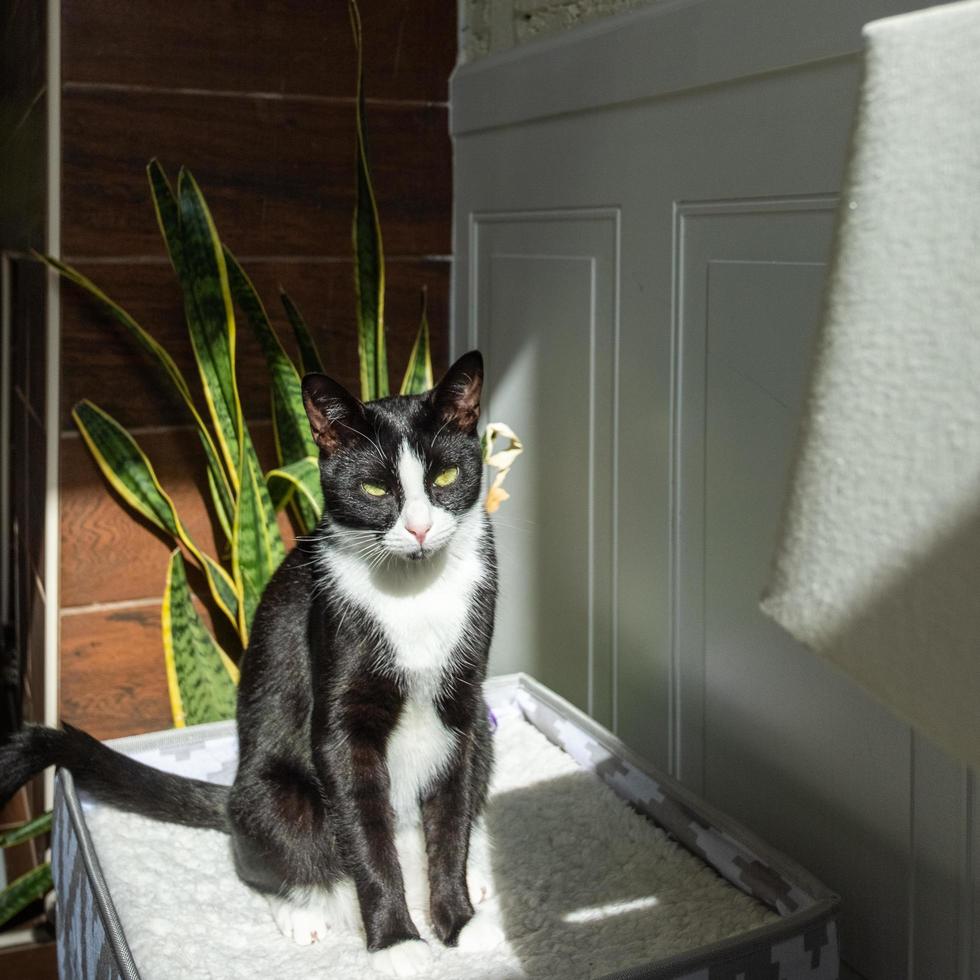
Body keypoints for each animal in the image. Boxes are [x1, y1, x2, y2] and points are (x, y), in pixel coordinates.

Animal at [0, 350, 502, 972]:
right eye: (374, 488)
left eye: (446, 478)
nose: (419, 528)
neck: (414, 592)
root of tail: (233, 794)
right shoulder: (340, 711)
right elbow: (365, 831)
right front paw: (396, 942)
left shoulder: (461, 706)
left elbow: (450, 816)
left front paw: (458, 920)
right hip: (275, 796)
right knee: (268, 853)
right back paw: (303, 910)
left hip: (484, 735)